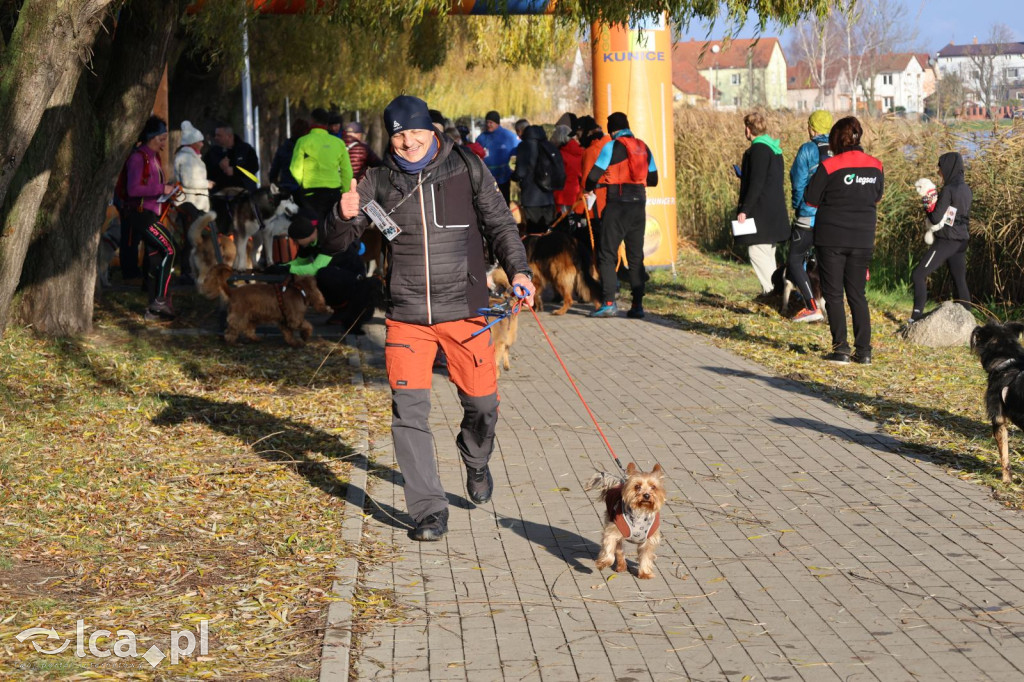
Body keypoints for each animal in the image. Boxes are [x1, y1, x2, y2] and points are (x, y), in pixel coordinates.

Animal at [199, 260, 327, 346]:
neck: (299, 289)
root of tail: (233, 291)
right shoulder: (295, 319)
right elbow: (308, 325)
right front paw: (304, 336)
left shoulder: (284, 321)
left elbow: (288, 333)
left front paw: (294, 342)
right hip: (240, 317)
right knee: (231, 330)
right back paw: (233, 343)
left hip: (253, 317)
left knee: (248, 330)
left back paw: (256, 339)